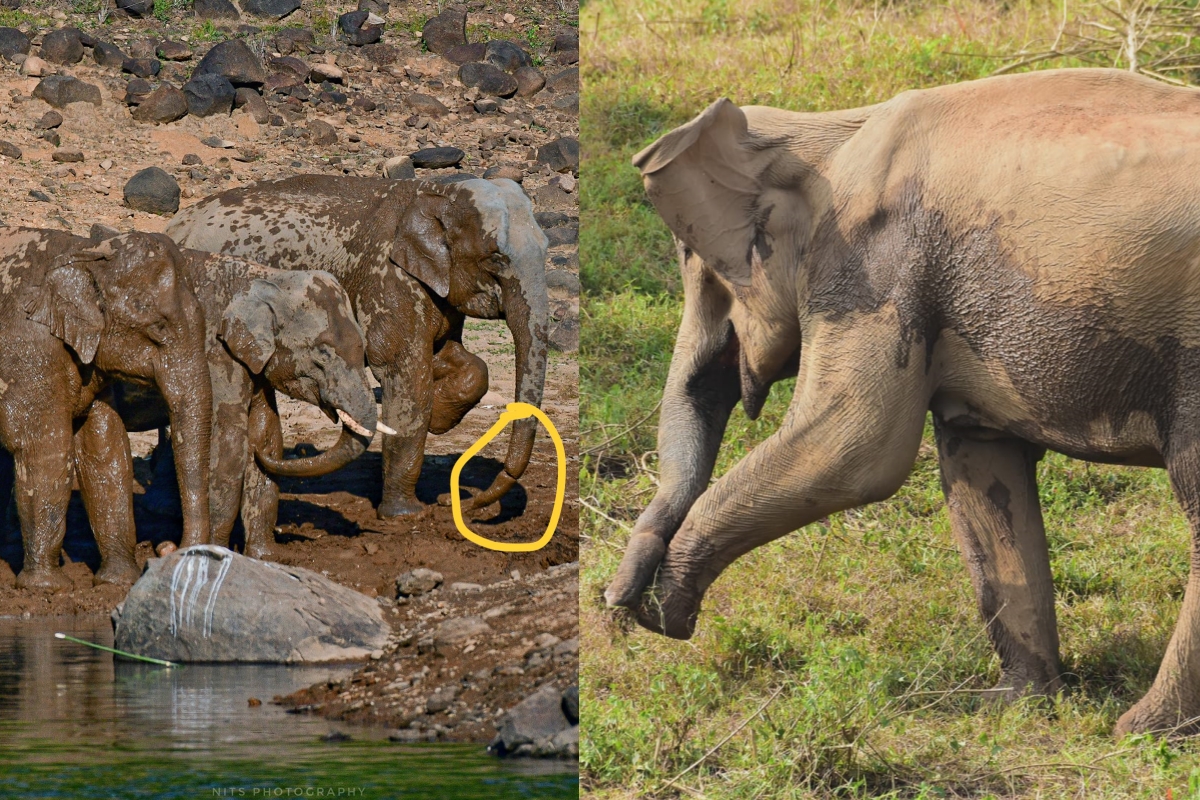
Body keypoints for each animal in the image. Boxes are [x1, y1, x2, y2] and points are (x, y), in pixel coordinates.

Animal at [0, 227, 212, 592]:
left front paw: (118, 581)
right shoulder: (29, 350)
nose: (169, 547)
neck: (84, 249)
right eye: (159, 328)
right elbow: (47, 450)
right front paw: (47, 587)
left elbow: (105, 447)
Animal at [107, 251, 381, 563]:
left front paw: (267, 557)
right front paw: (217, 550)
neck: (265, 279)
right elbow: (229, 440)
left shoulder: (255, 361)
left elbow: (265, 430)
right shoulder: (215, 351)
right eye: (322, 352)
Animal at [163, 175, 549, 520]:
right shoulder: (388, 280)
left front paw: (441, 417)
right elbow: (407, 378)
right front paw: (405, 515)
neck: (437, 189)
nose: (461, 505)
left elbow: (456, 359)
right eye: (496, 258)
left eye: (546, 250)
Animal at [604, 68, 1200, 738]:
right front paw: (1012, 706)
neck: (829, 129)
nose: (615, 604)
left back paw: (1143, 729)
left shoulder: (874, 270)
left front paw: (665, 607)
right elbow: (981, 472)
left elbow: (853, 448)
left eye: (693, 259)